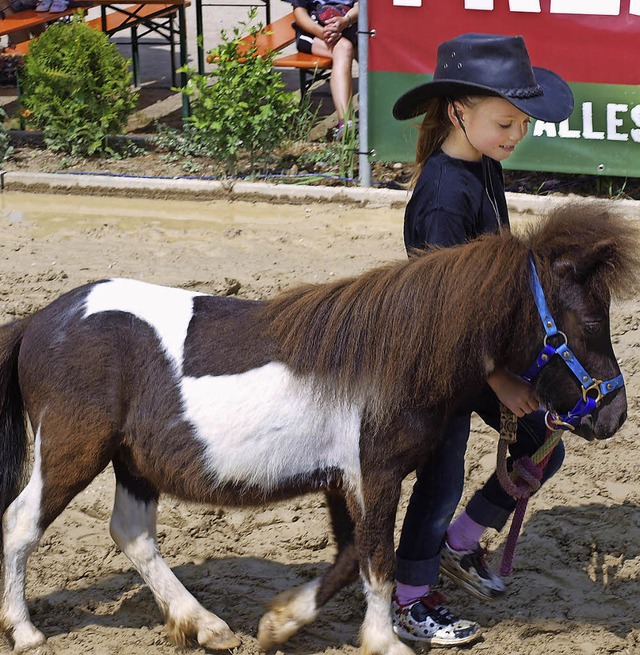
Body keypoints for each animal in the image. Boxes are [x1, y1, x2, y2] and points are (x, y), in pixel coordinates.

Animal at [0, 205, 636, 655]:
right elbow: (378, 559)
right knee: (22, 523)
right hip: (74, 450)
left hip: (132, 461)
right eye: (587, 321)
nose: (614, 415)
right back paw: (26, 631)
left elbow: (353, 556)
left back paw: (206, 626)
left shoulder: (341, 479)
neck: (391, 356)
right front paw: (383, 642)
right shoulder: (375, 474)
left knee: (132, 533)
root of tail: (39, 321)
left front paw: (280, 624)